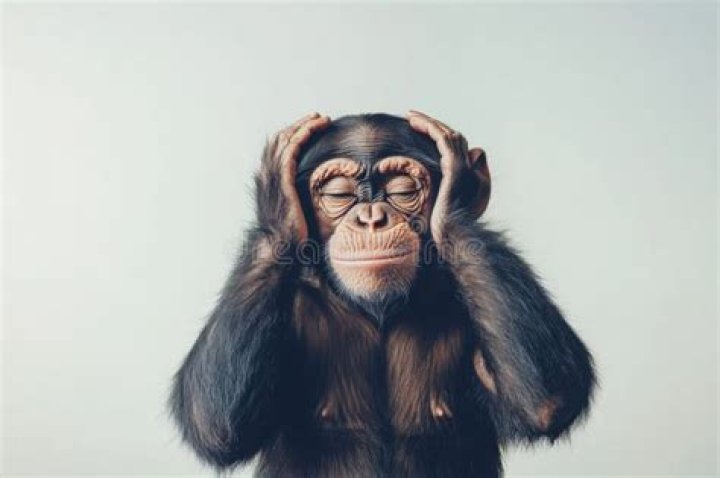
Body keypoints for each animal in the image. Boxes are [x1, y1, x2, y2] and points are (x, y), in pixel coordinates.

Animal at [169, 111, 596, 477]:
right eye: (339, 196)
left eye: (403, 190)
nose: (371, 218)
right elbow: (216, 421)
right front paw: (277, 196)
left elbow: (547, 399)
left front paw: (459, 184)